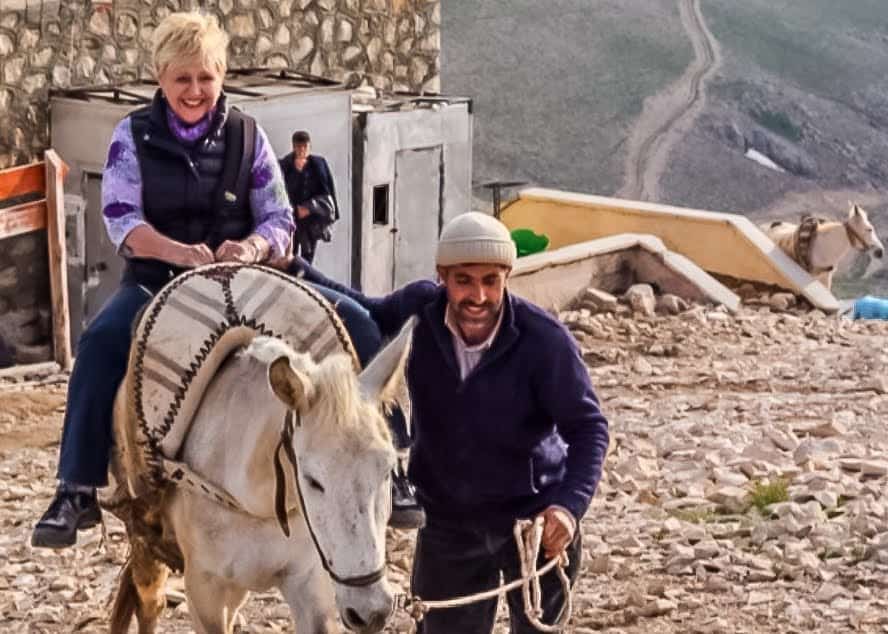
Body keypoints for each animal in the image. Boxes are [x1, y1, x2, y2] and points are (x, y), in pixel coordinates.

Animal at [109, 320, 414, 632]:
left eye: (387, 470)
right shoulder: (203, 590)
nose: (370, 612)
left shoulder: (308, 582)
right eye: (312, 480)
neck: (255, 498)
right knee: (149, 604)